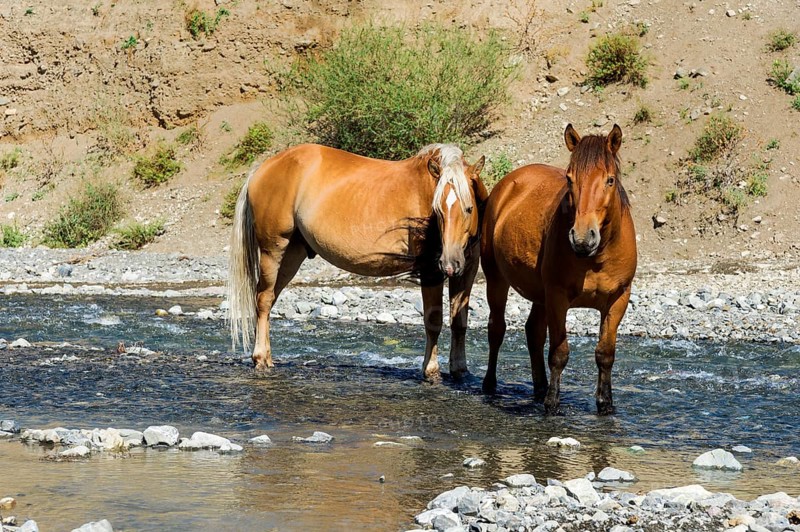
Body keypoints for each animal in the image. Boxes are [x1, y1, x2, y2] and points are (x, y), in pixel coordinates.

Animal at [227, 143, 488, 382]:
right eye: (438, 210)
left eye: (469, 208)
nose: (450, 263)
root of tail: (264, 167)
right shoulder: (430, 270)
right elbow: (433, 321)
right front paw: (431, 371)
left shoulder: (467, 271)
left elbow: (459, 321)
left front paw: (460, 370)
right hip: (273, 250)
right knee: (263, 300)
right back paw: (260, 358)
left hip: (292, 255)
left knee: (269, 299)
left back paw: (267, 357)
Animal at [480, 124, 637, 415]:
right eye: (570, 179)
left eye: (610, 180)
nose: (582, 238)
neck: (595, 257)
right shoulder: (557, 297)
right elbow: (559, 353)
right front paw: (552, 404)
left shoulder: (618, 299)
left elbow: (605, 354)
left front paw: (605, 404)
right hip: (496, 279)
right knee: (496, 329)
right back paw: (490, 385)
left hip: (539, 296)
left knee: (533, 332)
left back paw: (539, 387)